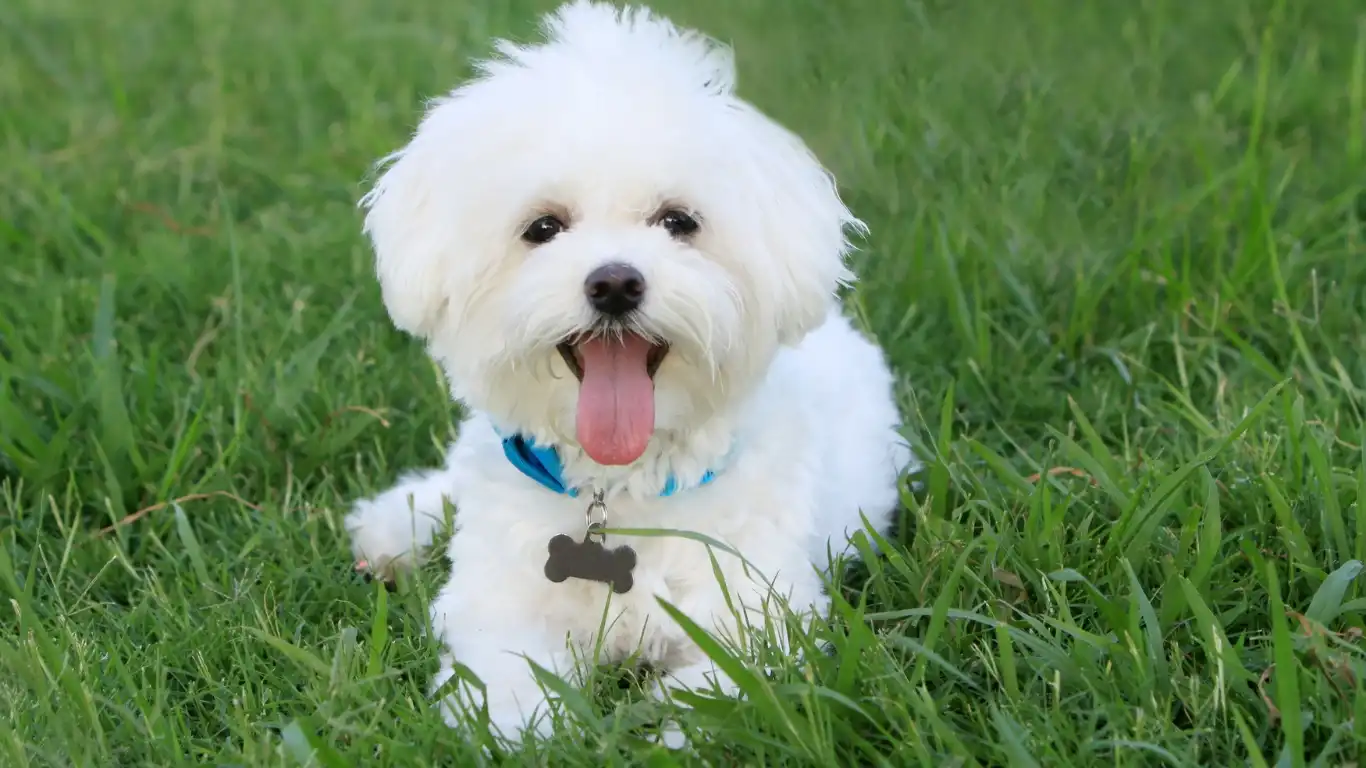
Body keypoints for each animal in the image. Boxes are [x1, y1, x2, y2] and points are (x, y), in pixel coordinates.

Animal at [344, 0, 917, 743]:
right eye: (543, 227)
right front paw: (518, 727)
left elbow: (720, 699)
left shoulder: (759, 622)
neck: (618, 488)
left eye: (678, 221)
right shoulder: (501, 606)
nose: (615, 283)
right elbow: (501, 681)